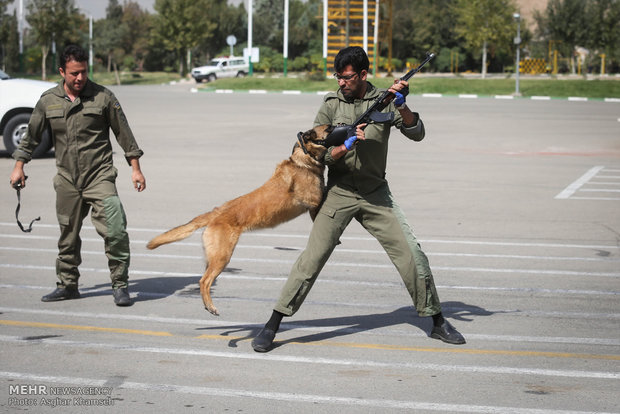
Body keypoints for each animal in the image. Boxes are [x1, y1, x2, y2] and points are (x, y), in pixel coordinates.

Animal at [147, 124, 334, 316]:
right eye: (330, 128)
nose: (341, 126)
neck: (303, 159)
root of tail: (216, 212)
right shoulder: (315, 201)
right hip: (223, 257)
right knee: (204, 281)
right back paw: (211, 306)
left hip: (213, 257)